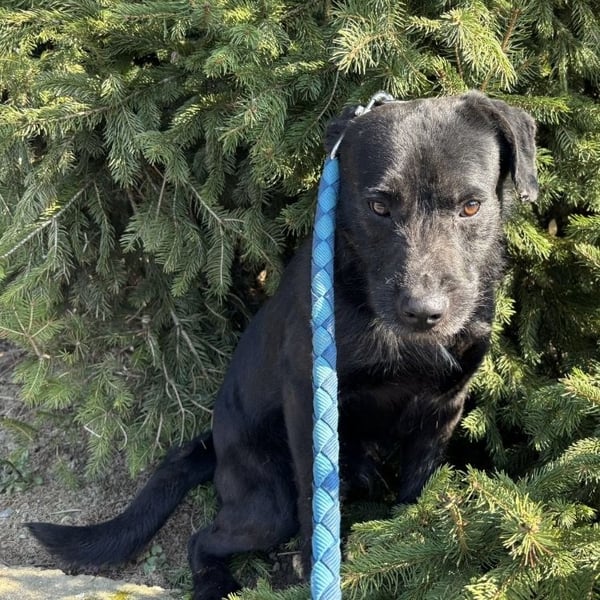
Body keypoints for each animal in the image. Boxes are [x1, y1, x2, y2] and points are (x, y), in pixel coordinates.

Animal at [27, 91, 538, 600]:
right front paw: (316, 564)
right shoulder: (311, 397)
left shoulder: (445, 405)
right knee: (204, 538)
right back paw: (220, 583)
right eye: (378, 206)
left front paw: (409, 538)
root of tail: (215, 446)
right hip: (269, 506)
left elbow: (419, 490)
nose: (424, 312)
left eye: (470, 207)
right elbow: (315, 494)